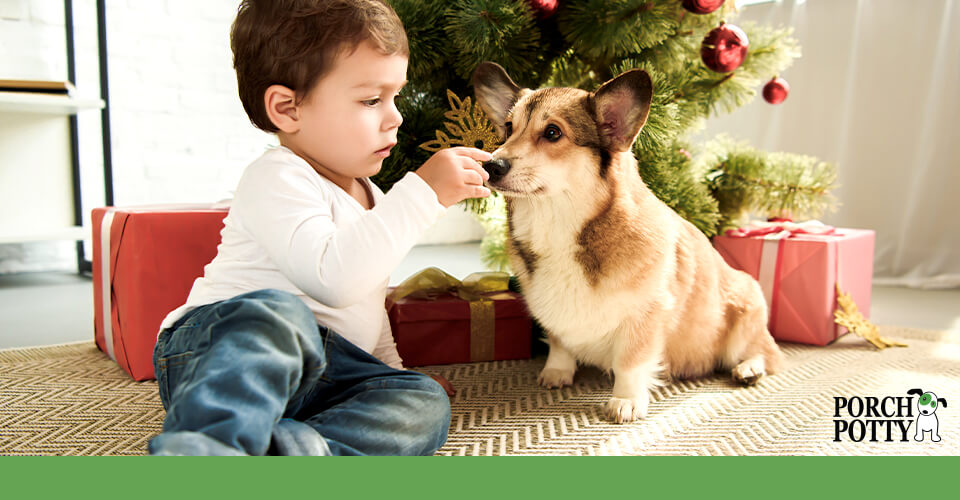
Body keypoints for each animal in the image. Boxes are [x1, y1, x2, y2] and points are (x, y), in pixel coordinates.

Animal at [470, 61, 780, 422]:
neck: (559, 227)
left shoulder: (644, 317)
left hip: (745, 311)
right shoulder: (554, 315)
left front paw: (625, 401)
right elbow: (559, 344)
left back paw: (749, 369)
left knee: (766, 353)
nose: (490, 166)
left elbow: (630, 363)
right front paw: (557, 372)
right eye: (508, 128)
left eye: (552, 133)